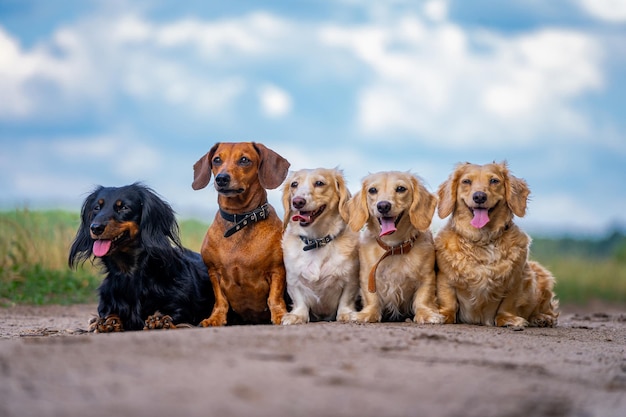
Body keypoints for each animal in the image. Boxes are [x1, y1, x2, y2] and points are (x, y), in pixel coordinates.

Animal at [69, 182, 214, 332]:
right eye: (97, 207)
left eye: (124, 207)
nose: (95, 228)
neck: (130, 273)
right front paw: (108, 322)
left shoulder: (182, 309)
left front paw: (159, 320)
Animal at [191, 142, 288, 324]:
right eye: (216, 160)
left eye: (244, 160)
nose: (221, 178)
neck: (239, 220)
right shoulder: (213, 272)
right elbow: (220, 300)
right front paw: (215, 318)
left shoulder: (277, 270)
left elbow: (274, 298)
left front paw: (281, 315)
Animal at [280, 167, 358, 324]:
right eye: (294, 184)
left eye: (319, 183)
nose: (297, 201)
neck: (315, 240)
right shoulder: (293, 280)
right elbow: (300, 301)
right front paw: (297, 316)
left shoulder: (350, 279)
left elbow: (346, 299)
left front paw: (345, 314)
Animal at [344, 171, 442, 324]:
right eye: (372, 190)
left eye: (401, 188)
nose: (383, 206)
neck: (393, 248)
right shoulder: (367, 277)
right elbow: (371, 298)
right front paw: (367, 314)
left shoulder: (427, 277)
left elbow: (423, 297)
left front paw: (426, 314)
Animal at [434, 161, 556, 326]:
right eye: (466, 181)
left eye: (494, 181)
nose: (479, 196)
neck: (483, 239)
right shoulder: (445, 277)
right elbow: (449, 301)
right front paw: (444, 315)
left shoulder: (516, 279)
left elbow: (507, 305)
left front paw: (507, 319)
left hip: (542, 276)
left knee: (547, 309)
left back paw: (542, 318)